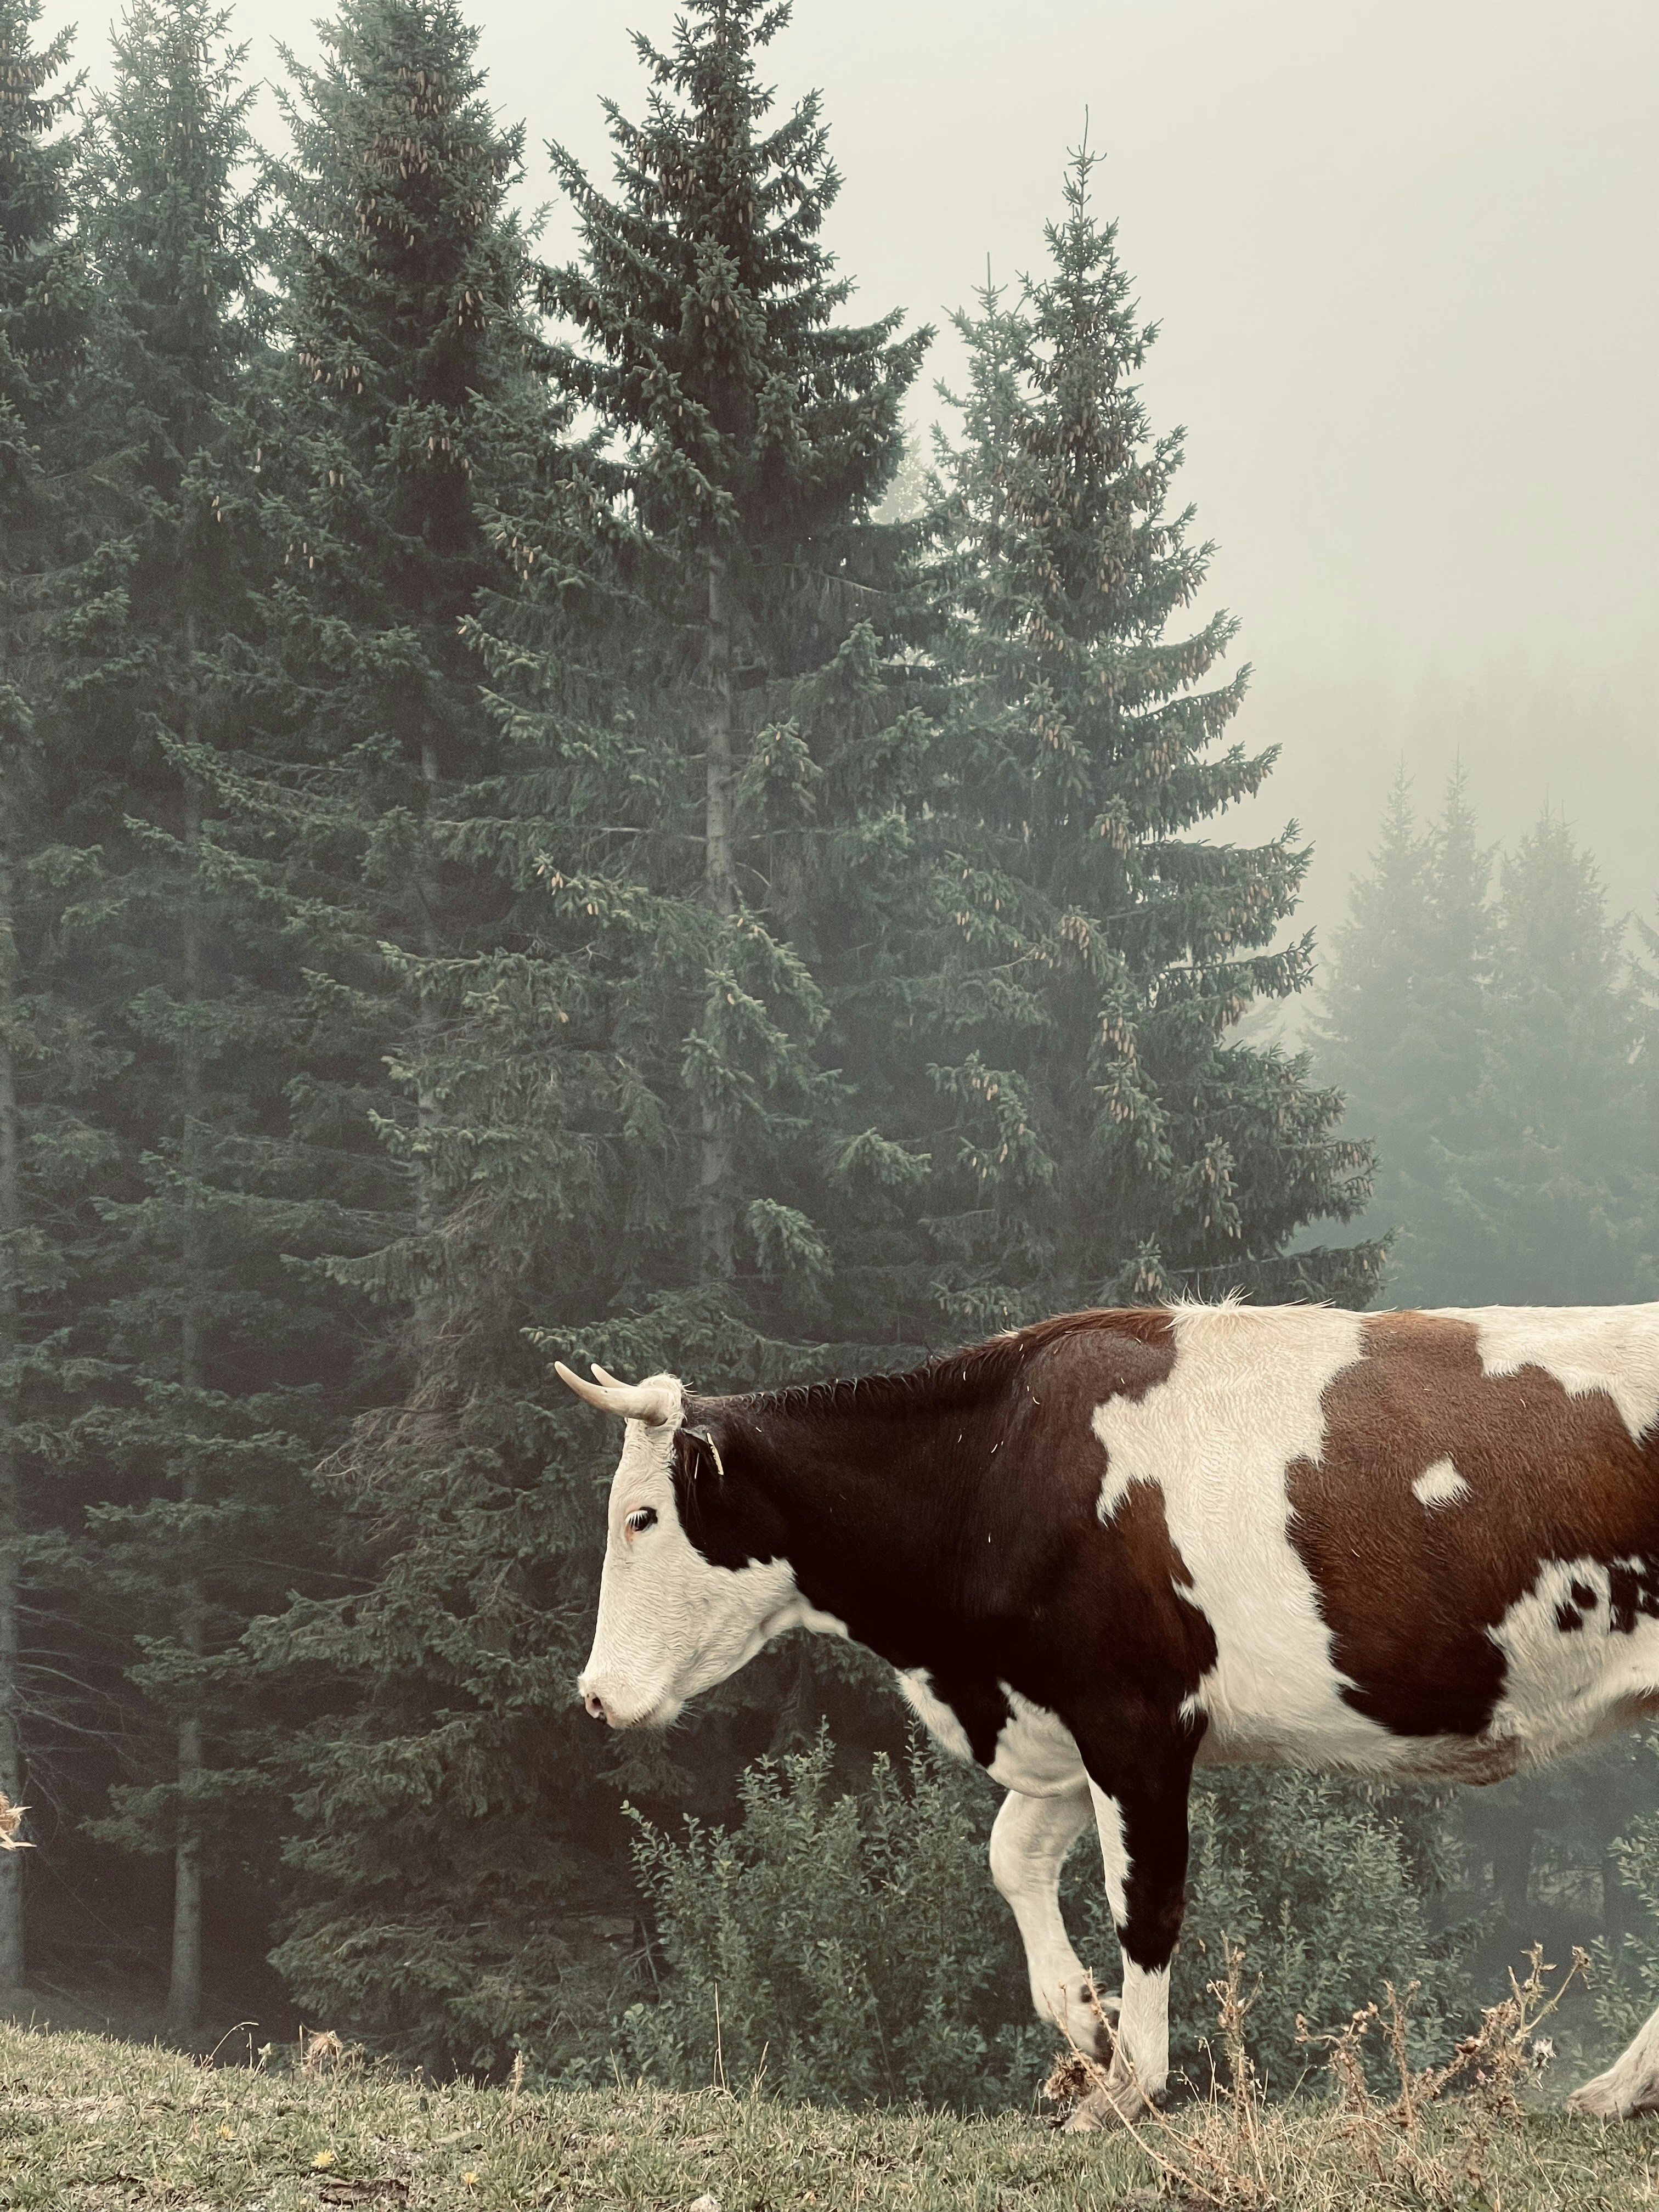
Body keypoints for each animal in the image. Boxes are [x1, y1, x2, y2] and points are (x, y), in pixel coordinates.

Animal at [559, 1299, 1659, 2128]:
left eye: (641, 1516)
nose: (595, 1692)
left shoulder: (1136, 1716)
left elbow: (1146, 1903)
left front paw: (1128, 2087)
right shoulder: (1057, 1718)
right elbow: (1011, 1857)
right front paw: (1086, 2023)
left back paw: (1615, 2088)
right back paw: (1615, 2091)